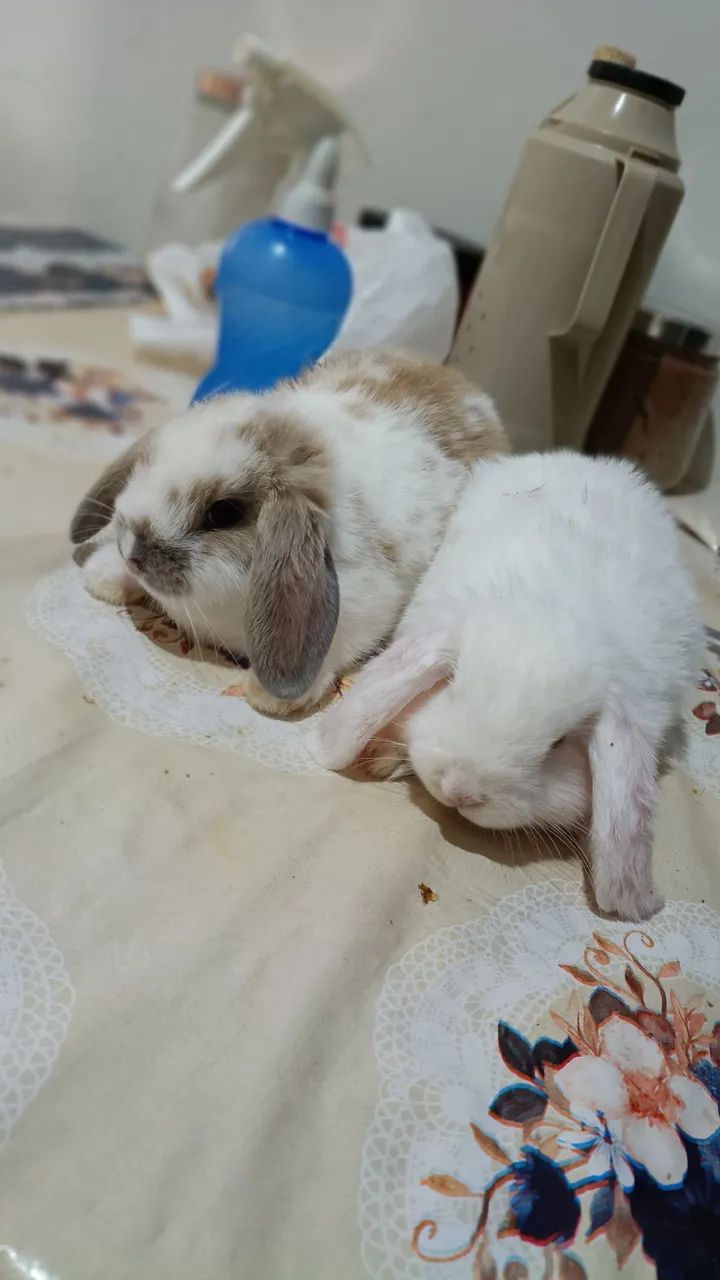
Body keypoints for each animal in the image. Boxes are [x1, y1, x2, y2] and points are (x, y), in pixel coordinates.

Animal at [69, 350, 507, 716]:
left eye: (223, 512)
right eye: (147, 464)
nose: (133, 552)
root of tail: (476, 396)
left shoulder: (367, 608)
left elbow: (337, 645)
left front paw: (269, 696)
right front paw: (103, 576)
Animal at [317, 451, 703, 921]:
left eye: (558, 744)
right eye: (453, 685)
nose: (460, 791)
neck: (553, 611)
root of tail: (590, 460)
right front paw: (383, 760)